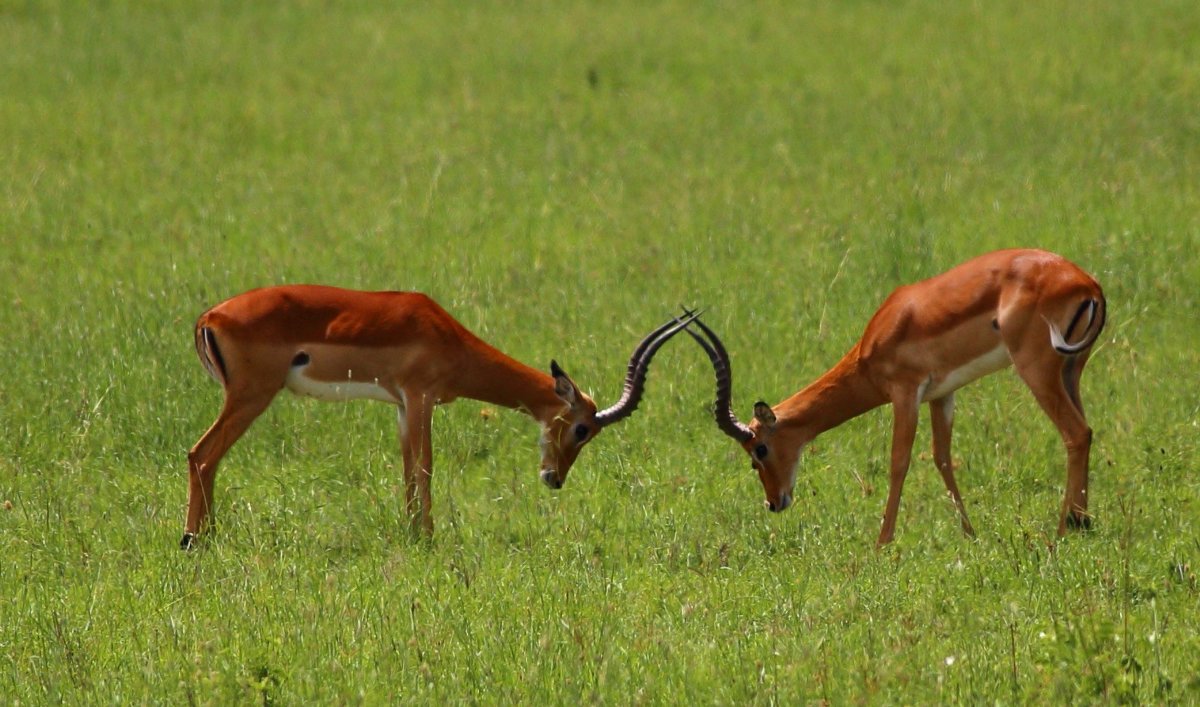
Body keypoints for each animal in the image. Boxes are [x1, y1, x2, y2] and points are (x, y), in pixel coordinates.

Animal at [182, 284, 700, 549]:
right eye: (581, 428)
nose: (554, 479)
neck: (445, 333)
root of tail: (210, 317)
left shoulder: (401, 406)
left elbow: (408, 470)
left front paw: (414, 534)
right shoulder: (420, 398)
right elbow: (426, 467)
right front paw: (428, 538)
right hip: (251, 395)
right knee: (202, 455)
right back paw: (195, 540)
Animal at [686, 248, 1104, 544]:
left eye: (759, 451)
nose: (773, 502)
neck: (883, 331)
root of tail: (1088, 284)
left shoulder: (905, 393)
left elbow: (898, 462)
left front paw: (881, 543)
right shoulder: (941, 394)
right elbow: (942, 458)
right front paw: (970, 534)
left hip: (1036, 370)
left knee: (1075, 433)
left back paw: (1064, 530)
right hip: (1070, 371)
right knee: (1087, 432)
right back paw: (1082, 522)